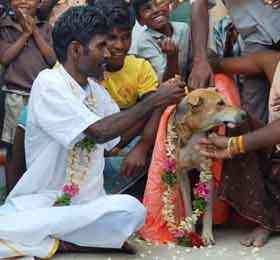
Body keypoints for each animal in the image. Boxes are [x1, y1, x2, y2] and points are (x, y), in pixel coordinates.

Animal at [167, 88, 246, 245]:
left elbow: (208, 208)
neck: (194, 132)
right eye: (220, 103)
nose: (245, 114)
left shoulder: (206, 170)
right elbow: (187, 204)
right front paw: (190, 230)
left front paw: (207, 235)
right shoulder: (181, 173)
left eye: (224, 101)